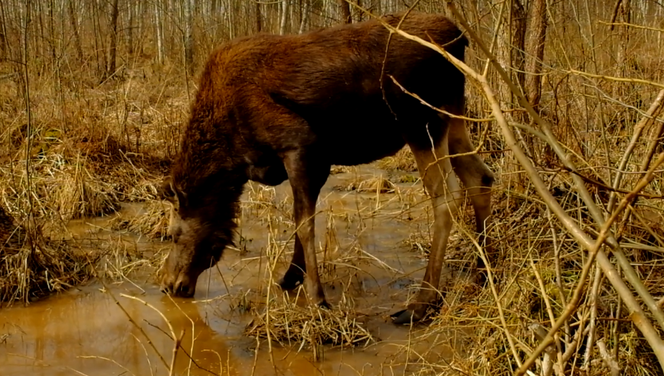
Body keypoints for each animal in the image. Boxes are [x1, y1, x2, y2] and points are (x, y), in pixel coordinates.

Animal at [161, 11, 492, 324]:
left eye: (174, 234)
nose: (169, 283)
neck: (231, 160)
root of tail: (460, 38)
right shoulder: (312, 160)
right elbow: (301, 220)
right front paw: (291, 276)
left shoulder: (299, 144)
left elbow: (304, 224)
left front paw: (317, 298)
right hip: (453, 115)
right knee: (480, 175)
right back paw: (483, 270)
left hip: (420, 122)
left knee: (446, 197)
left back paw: (421, 304)